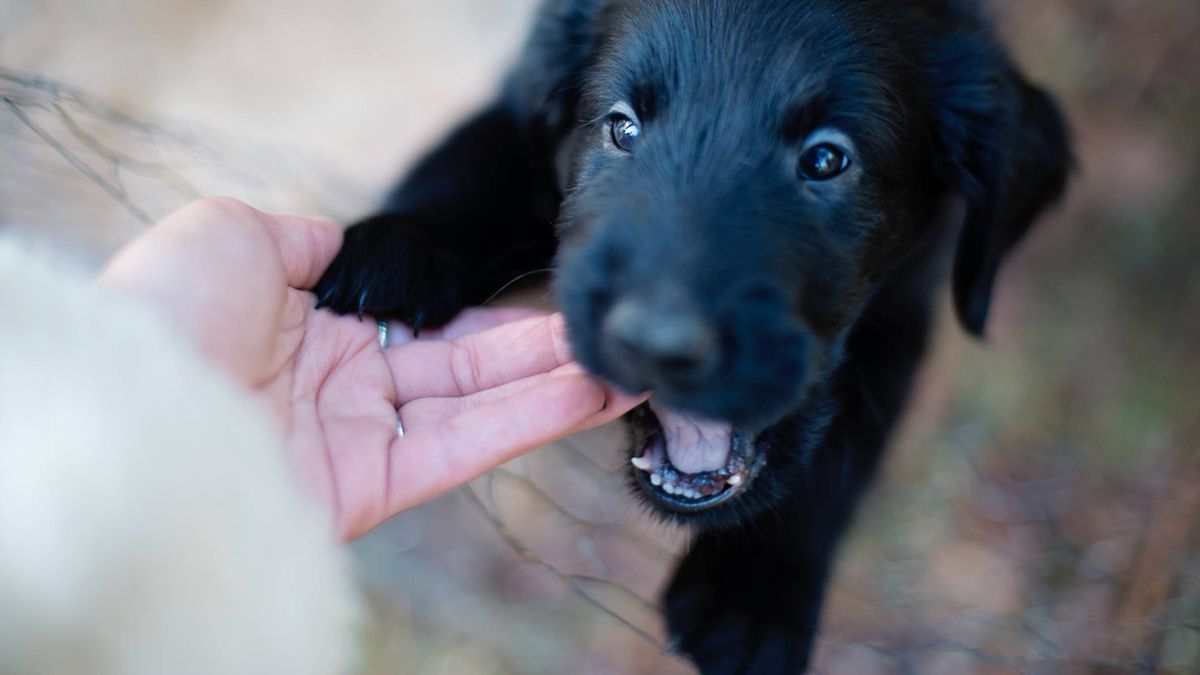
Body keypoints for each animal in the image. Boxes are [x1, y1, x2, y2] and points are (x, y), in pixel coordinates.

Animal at [316, 2, 1070, 667]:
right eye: (622, 128)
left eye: (827, 160)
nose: (653, 342)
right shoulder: (511, 113)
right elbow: (471, 161)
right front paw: (395, 250)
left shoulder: (909, 306)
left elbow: (840, 444)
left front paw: (751, 596)